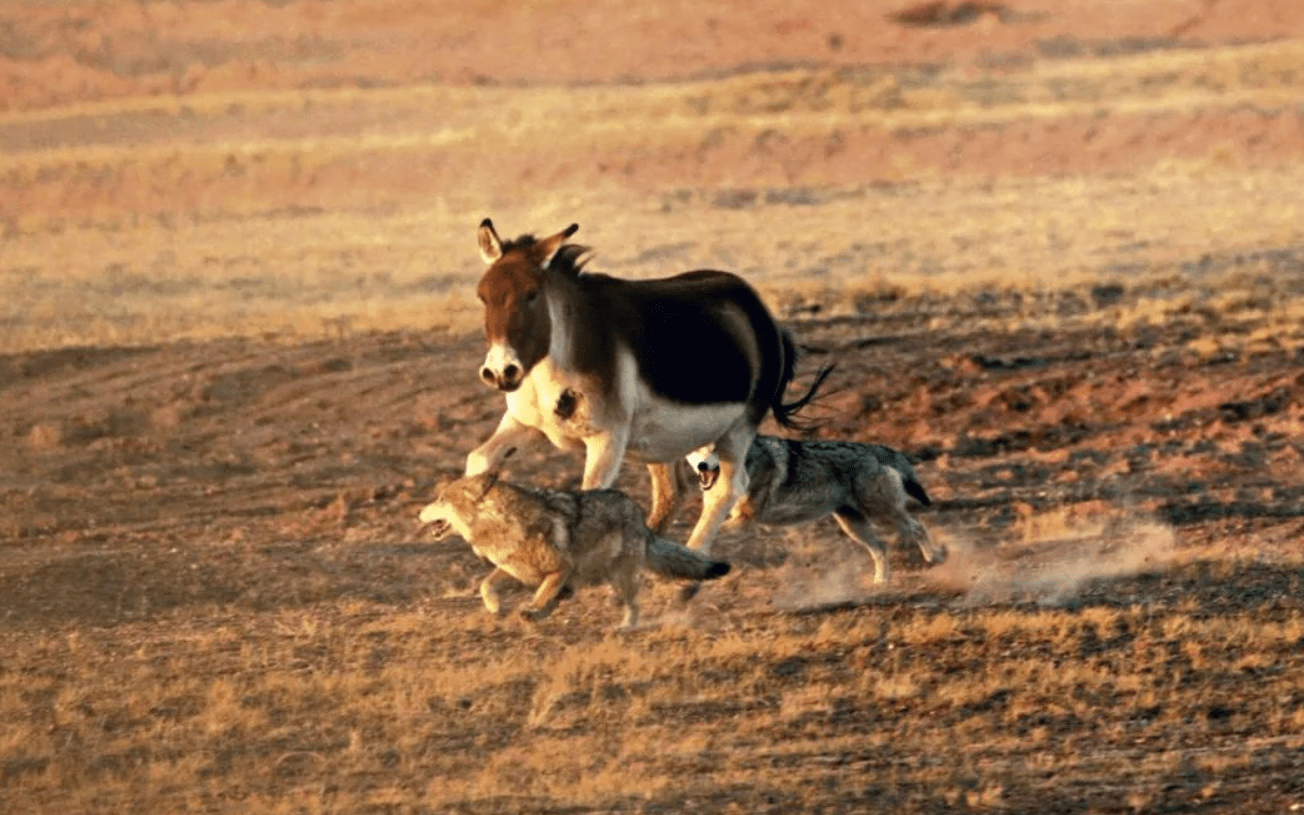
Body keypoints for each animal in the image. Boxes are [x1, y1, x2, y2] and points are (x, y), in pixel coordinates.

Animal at [414, 461, 730, 625]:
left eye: (440, 499)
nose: (418, 512)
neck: (499, 526)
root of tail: (639, 517)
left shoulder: (561, 567)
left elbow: (543, 592)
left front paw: (533, 610)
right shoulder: (513, 567)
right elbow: (486, 584)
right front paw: (494, 607)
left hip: (621, 575)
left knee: (633, 607)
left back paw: (624, 629)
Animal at [464, 219, 829, 555]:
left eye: (531, 294)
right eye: (483, 297)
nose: (500, 372)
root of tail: (763, 315)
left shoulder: (607, 440)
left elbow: (590, 500)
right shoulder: (525, 425)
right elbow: (477, 461)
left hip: (737, 430)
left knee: (726, 491)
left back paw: (690, 564)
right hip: (675, 441)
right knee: (676, 496)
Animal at [688, 435, 944, 581]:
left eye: (715, 449)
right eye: (699, 450)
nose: (702, 465)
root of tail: (873, 449)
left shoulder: (745, 521)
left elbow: (703, 538)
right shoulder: (724, 516)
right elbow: (699, 534)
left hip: (881, 515)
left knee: (917, 527)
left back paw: (934, 557)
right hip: (854, 526)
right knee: (881, 547)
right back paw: (880, 582)